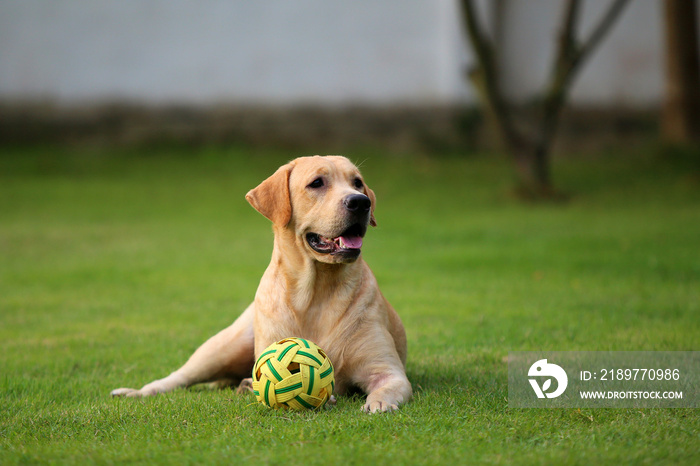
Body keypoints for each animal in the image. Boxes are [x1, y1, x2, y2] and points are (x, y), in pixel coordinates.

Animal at [110, 156, 410, 412]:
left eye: (357, 182)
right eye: (316, 183)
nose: (361, 202)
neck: (316, 292)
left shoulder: (389, 371)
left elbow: (386, 387)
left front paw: (378, 403)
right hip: (222, 347)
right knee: (178, 377)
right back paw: (136, 391)